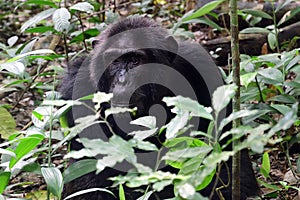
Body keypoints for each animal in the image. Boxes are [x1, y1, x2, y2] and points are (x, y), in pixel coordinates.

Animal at [59, 16, 258, 199]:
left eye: (135, 60)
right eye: (114, 61)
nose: (123, 80)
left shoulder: (204, 69)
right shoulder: (78, 88)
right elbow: (88, 179)